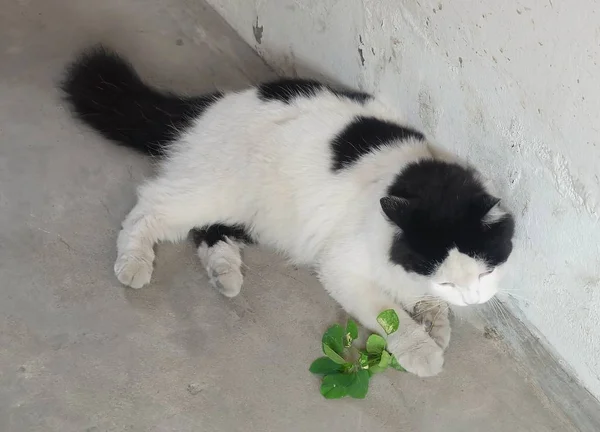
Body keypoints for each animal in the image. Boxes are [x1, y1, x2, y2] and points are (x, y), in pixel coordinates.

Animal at [62, 47, 516, 376]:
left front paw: (437, 323)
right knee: (151, 206)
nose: (473, 299)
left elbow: (424, 302)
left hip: (252, 211)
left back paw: (225, 274)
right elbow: (392, 318)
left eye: (484, 273)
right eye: (453, 279)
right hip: (218, 190)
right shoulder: (344, 268)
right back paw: (135, 263)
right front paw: (422, 350)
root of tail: (217, 102)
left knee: (208, 231)